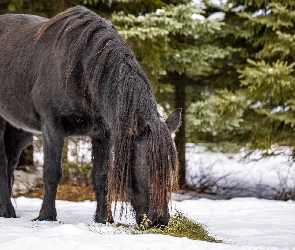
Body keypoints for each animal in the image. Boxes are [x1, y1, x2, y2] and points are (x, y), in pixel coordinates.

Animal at [0, 6, 182, 228]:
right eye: (147, 166)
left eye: (172, 171)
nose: (159, 221)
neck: (81, 69)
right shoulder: (52, 125)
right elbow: (52, 172)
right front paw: (46, 216)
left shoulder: (103, 133)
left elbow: (101, 176)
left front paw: (104, 218)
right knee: (2, 162)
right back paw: (6, 211)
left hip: (20, 129)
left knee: (10, 164)